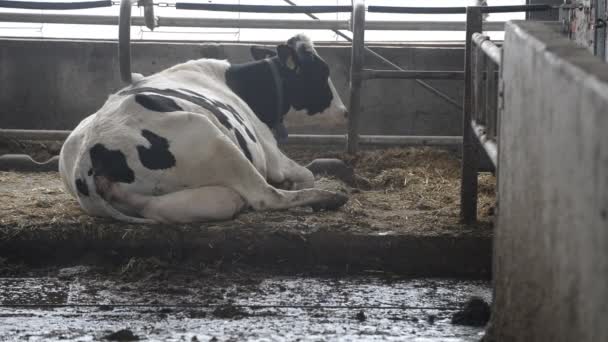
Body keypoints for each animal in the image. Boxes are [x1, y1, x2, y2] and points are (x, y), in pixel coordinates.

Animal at [60, 34, 352, 224]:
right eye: (322, 71)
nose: (345, 112)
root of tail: (86, 160)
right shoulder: (271, 154)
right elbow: (305, 174)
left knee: (158, 208)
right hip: (213, 138)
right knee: (266, 196)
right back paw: (329, 197)